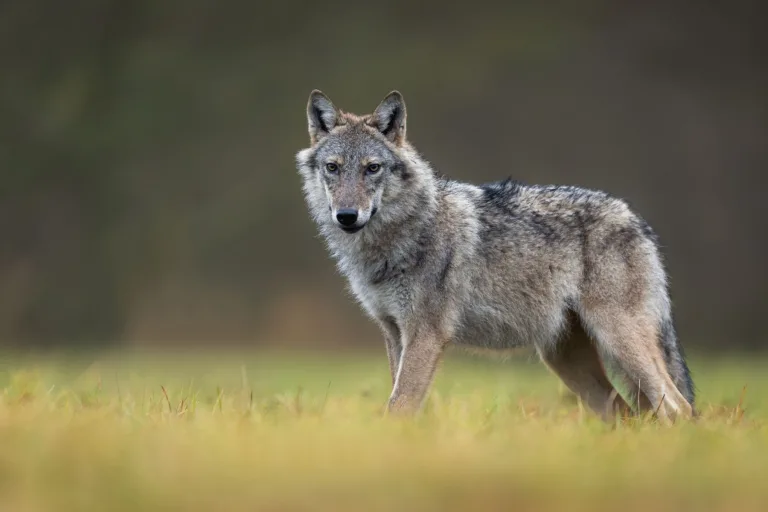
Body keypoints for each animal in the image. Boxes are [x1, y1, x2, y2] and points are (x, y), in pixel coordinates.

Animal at [296, 90, 695, 422]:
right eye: (333, 168)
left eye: (372, 168)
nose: (347, 216)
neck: (399, 237)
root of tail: (635, 218)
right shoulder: (394, 333)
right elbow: (399, 402)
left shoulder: (425, 334)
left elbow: (400, 406)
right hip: (569, 361)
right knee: (628, 415)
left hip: (619, 339)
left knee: (677, 407)